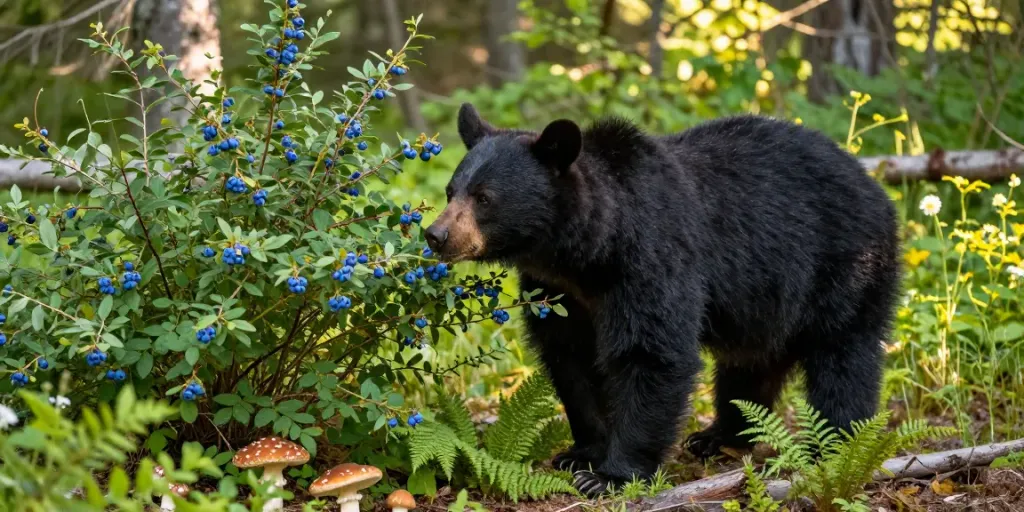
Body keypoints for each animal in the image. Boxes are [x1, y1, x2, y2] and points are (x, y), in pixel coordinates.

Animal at [424, 103, 902, 497]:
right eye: (451, 190)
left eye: (485, 197)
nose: (436, 235)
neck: (585, 254)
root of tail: (872, 183)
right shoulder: (558, 293)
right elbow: (571, 360)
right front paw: (582, 453)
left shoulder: (651, 260)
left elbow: (651, 354)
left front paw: (611, 476)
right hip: (768, 300)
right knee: (750, 365)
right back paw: (719, 435)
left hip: (843, 264)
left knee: (843, 356)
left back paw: (836, 443)